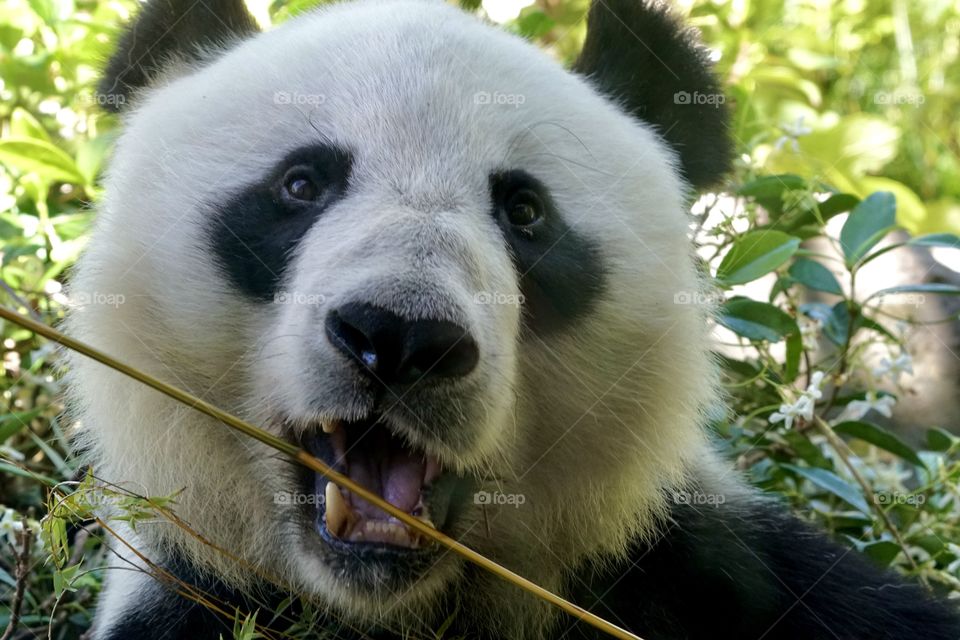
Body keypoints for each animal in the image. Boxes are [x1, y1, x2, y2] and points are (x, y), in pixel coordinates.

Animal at [63, 0, 960, 636]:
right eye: (300, 184)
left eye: (525, 211)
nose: (400, 338)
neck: (391, 601)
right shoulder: (194, 589)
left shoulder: (693, 567)